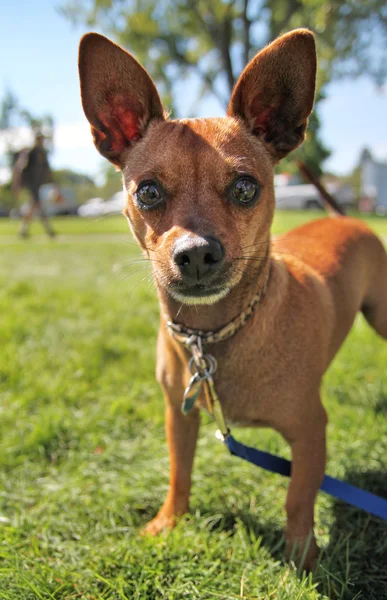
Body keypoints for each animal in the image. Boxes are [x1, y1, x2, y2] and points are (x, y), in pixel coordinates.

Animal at [79, 30, 387, 568]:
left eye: (245, 188)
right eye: (148, 192)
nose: (197, 253)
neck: (214, 334)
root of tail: (345, 216)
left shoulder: (310, 433)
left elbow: (298, 498)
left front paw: (301, 559)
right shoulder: (179, 417)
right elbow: (179, 473)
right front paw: (169, 521)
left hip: (384, 314)